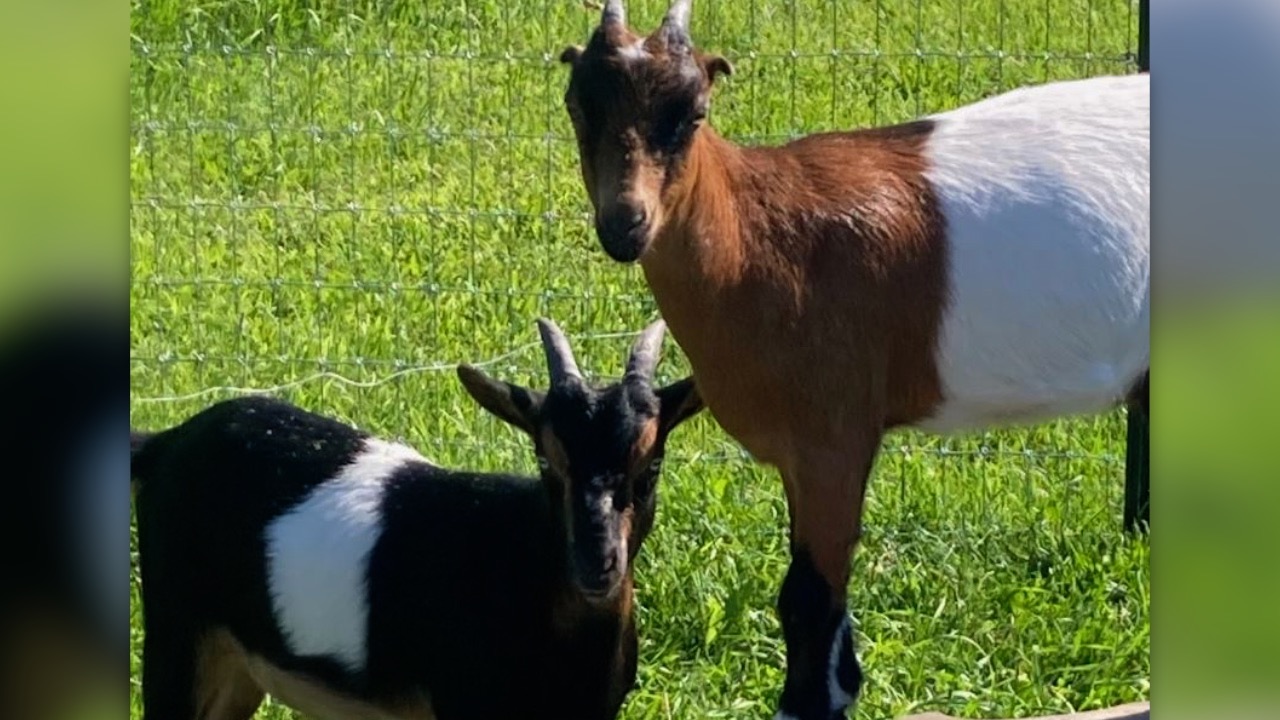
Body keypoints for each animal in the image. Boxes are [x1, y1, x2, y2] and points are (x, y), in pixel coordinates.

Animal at [130, 318, 704, 720]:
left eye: (651, 466)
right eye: (546, 461)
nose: (596, 562)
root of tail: (165, 443)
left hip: (237, 667)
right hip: (177, 634)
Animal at [557, 2, 1148, 718]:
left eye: (693, 113)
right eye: (576, 104)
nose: (625, 224)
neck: (760, 236)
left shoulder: (834, 436)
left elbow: (808, 597)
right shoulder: (800, 453)